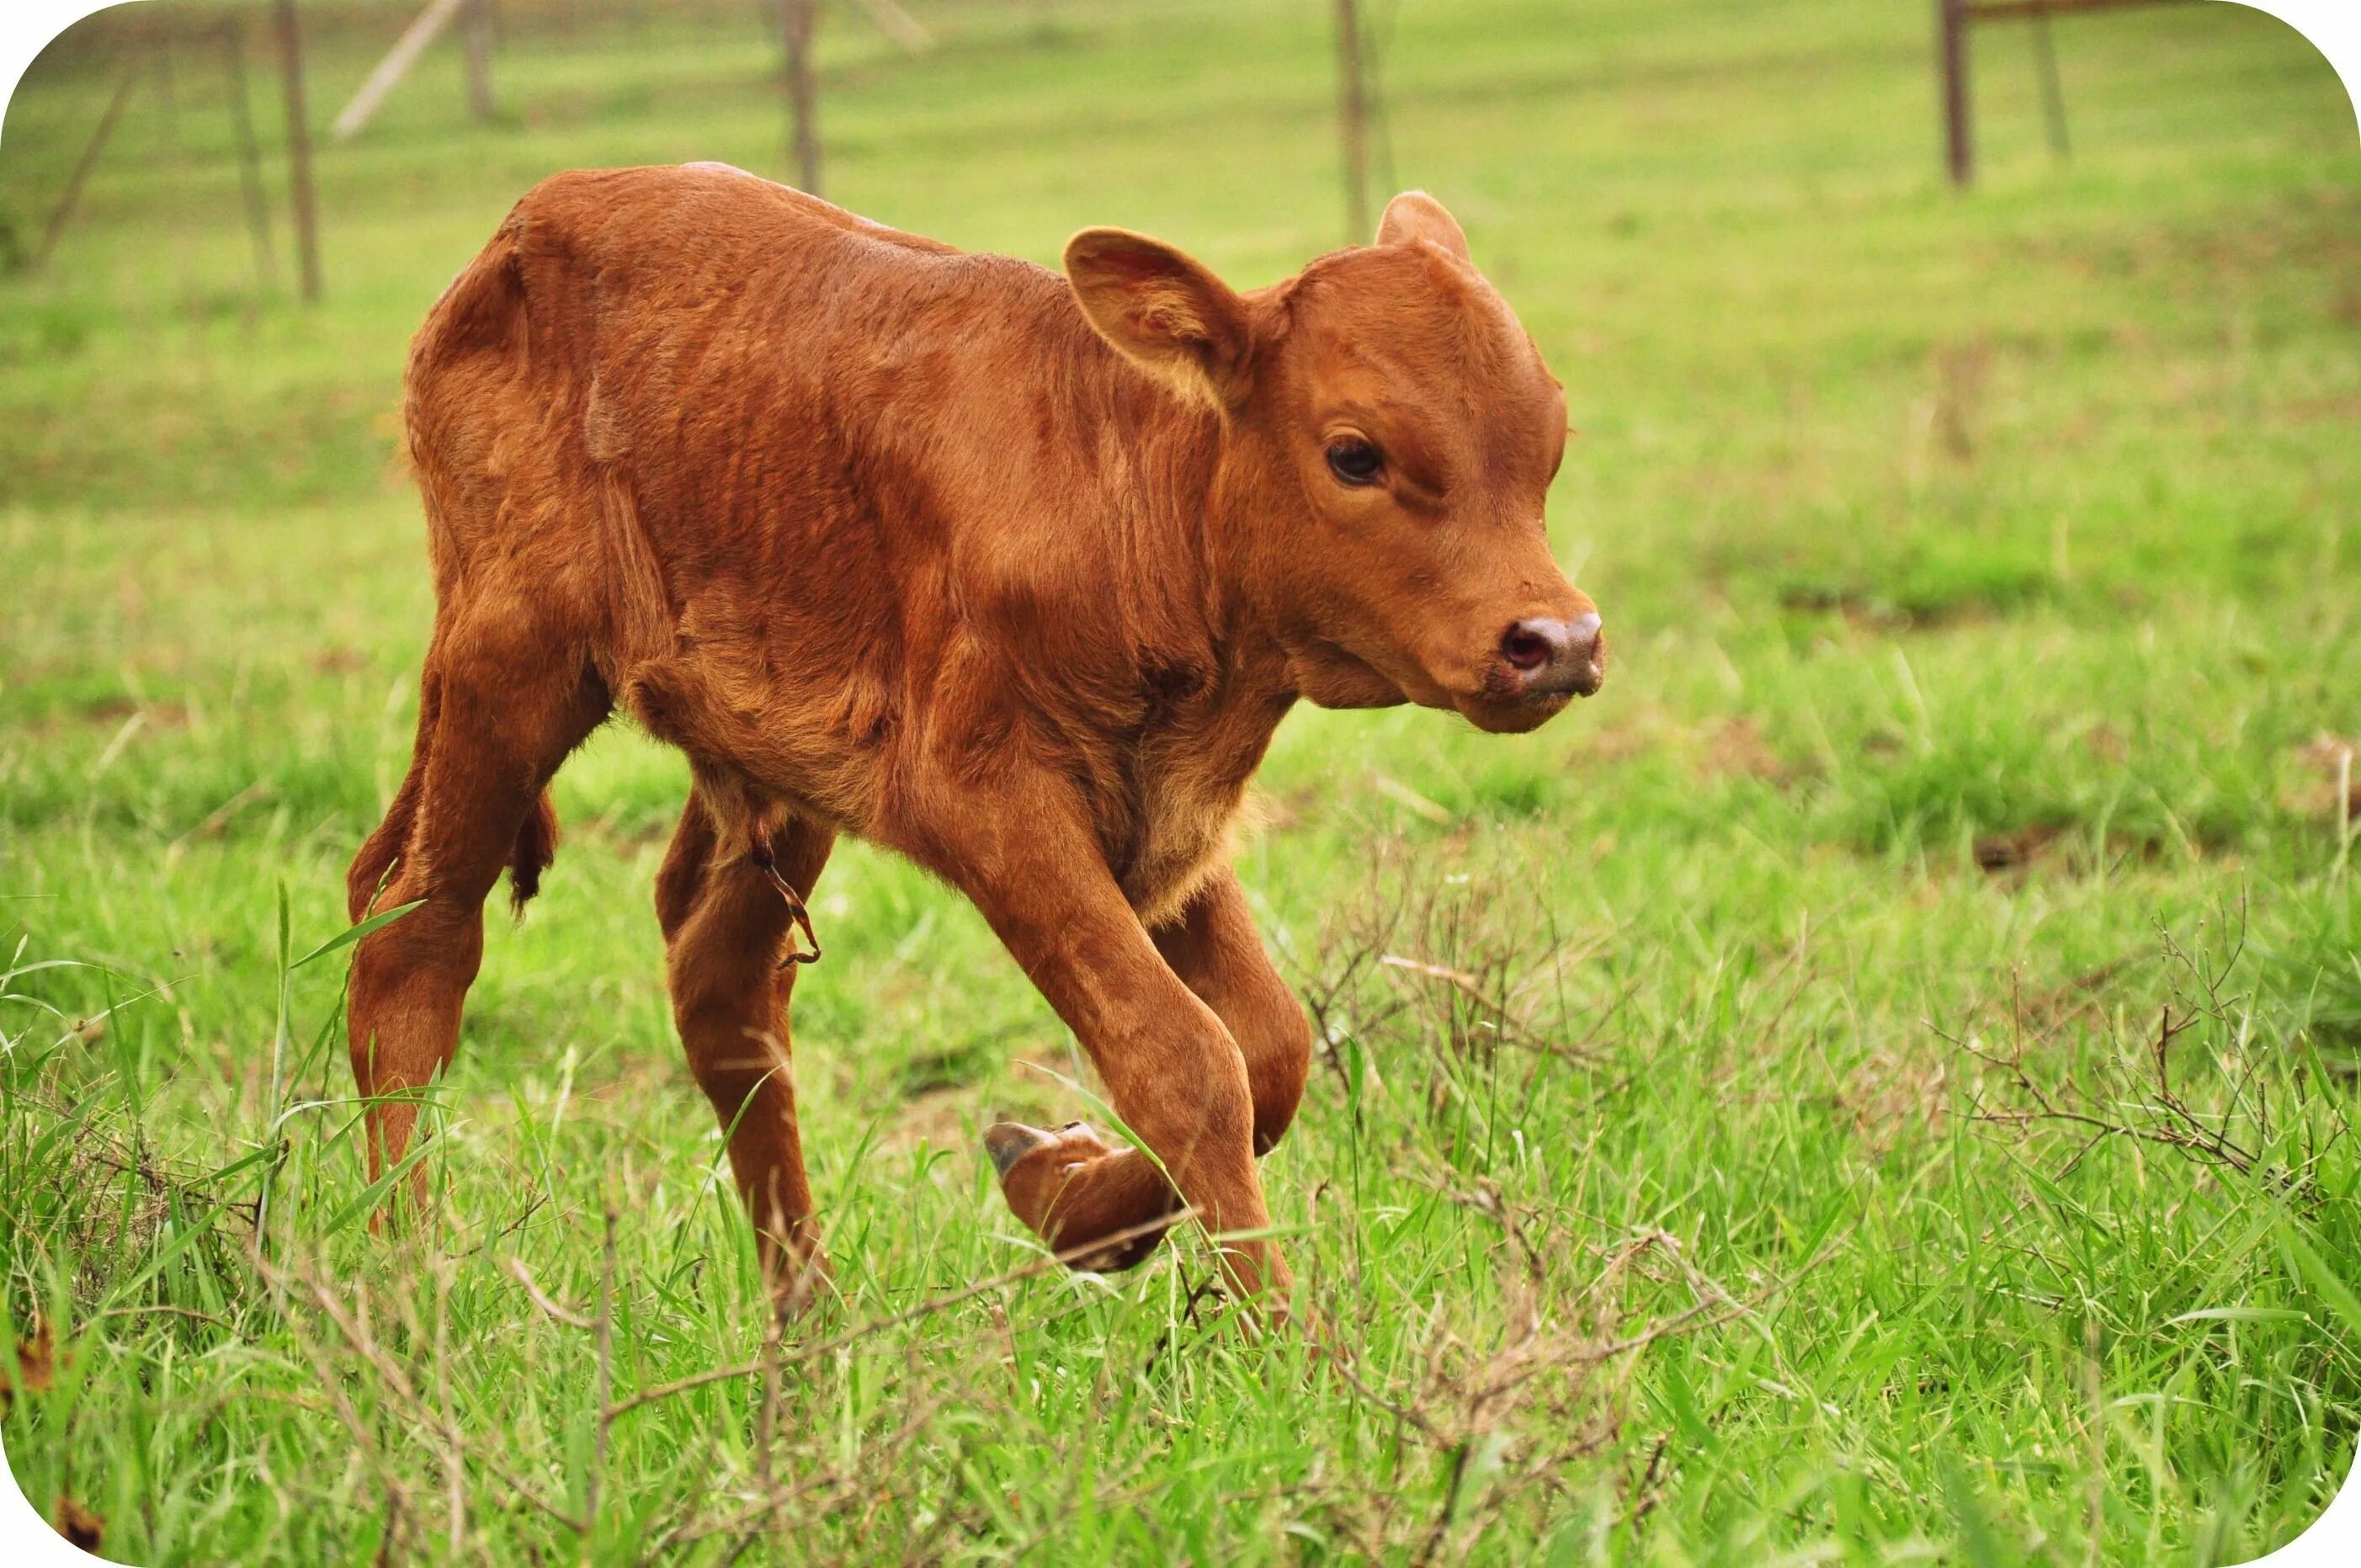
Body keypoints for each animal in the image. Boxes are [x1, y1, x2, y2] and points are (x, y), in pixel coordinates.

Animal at [349, 165, 1605, 1303]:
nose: (1557, 640)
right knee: (412, 941)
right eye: (1355, 454)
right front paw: (1296, 1357)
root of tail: (528, 221)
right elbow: (1186, 1060)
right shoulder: (993, 801)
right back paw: (408, 1299)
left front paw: (1061, 1191)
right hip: (509, 662)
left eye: (1550, 437)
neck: (1124, 497)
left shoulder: (1163, 812)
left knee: (723, 989)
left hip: (776, 755)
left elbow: (1271, 1046)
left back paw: (806, 1324)